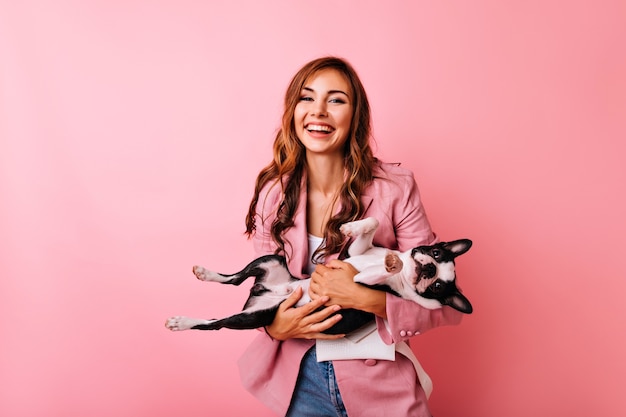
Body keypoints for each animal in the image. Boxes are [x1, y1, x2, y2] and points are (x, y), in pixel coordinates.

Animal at [163, 216, 470, 334]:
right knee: (235, 278)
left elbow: (377, 273)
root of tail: (264, 292)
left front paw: (392, 266)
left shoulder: (360, 281)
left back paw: (181, 322)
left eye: (438, 286)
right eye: (436, 253)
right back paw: (205, 273)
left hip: (251, 317)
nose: (428, 269)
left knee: (214, 323)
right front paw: (352, 227)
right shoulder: (357, 251)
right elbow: (373, 223)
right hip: (271, 260)